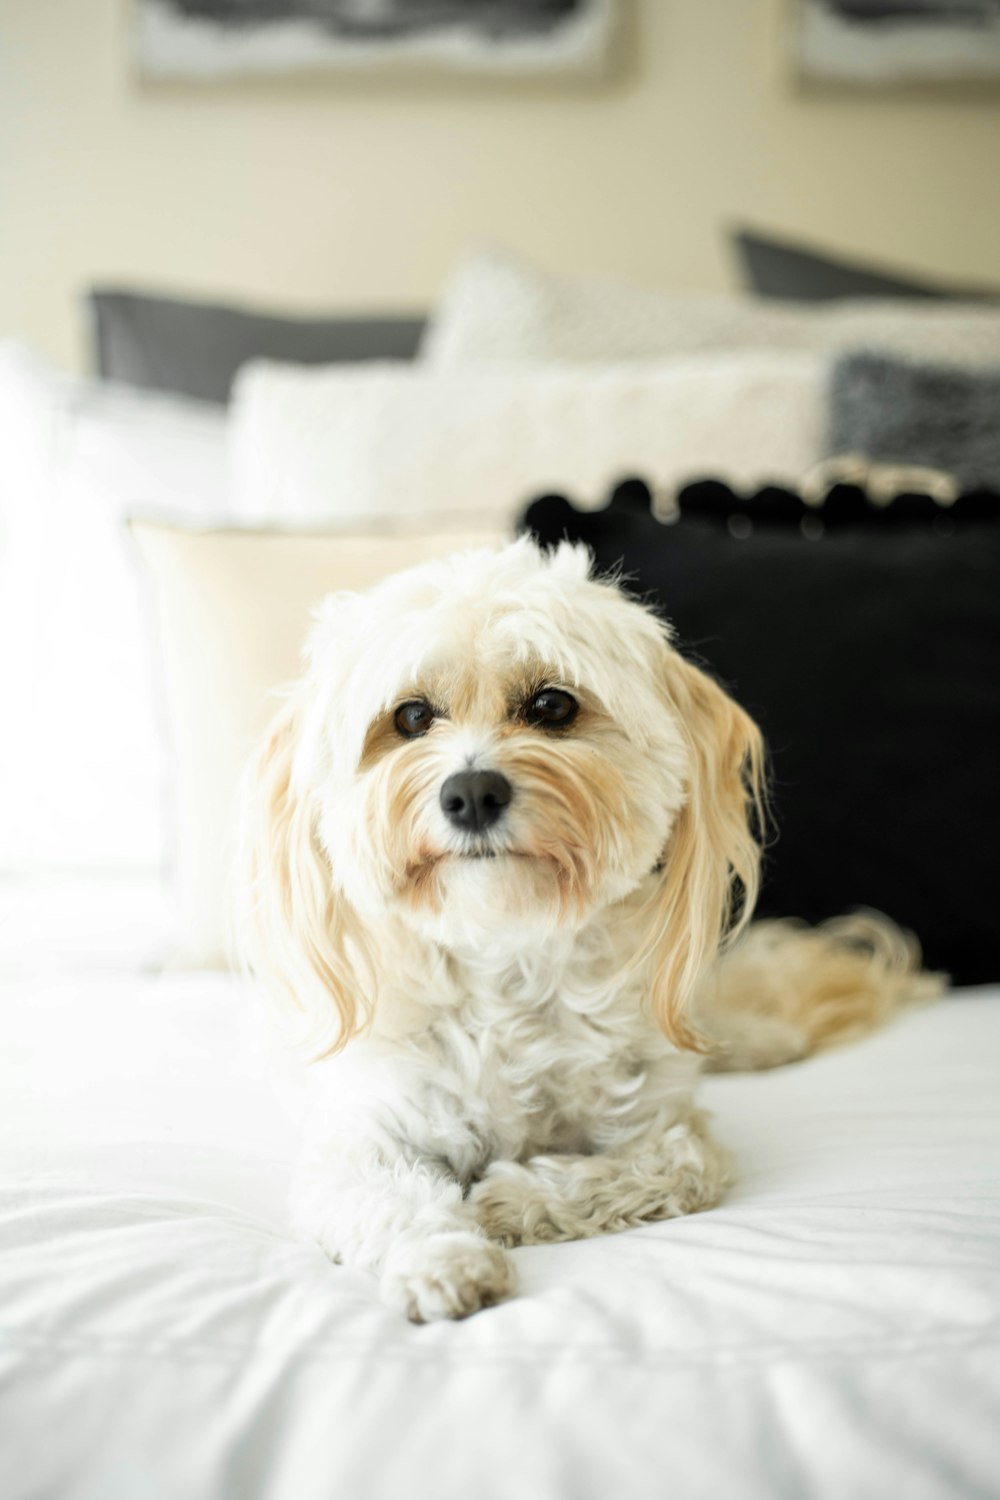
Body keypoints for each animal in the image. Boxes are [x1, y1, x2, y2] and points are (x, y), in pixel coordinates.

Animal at [238, 540, 941, 1326]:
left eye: (552, 705)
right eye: (412, 717)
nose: (471, 793)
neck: (508, 955)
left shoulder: (666, 1129)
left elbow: (657, 1165)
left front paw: (509, 1199)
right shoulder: (361, 1140)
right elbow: (392, 1202)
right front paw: (445, 1262)